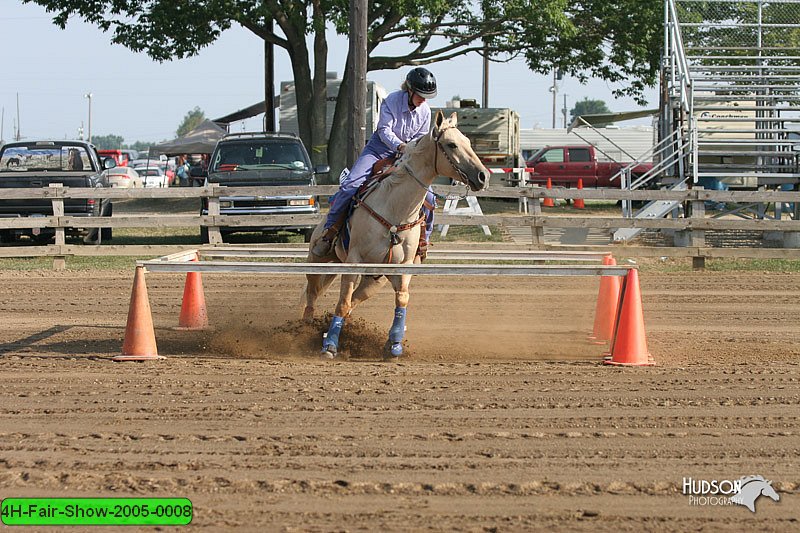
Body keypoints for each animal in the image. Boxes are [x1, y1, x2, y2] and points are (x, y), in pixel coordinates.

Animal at [300, 109, 488, 358]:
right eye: (451, 144)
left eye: (467, 142)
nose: (483, 176)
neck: (395, 210)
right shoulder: (354, 262)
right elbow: (342, 302)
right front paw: (330, 346)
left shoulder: (403, 267)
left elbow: (402, 299)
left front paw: (395, 343)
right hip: (317, 259)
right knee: (312, 293)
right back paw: (304, 328)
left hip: (373, 281)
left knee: (352, 301)